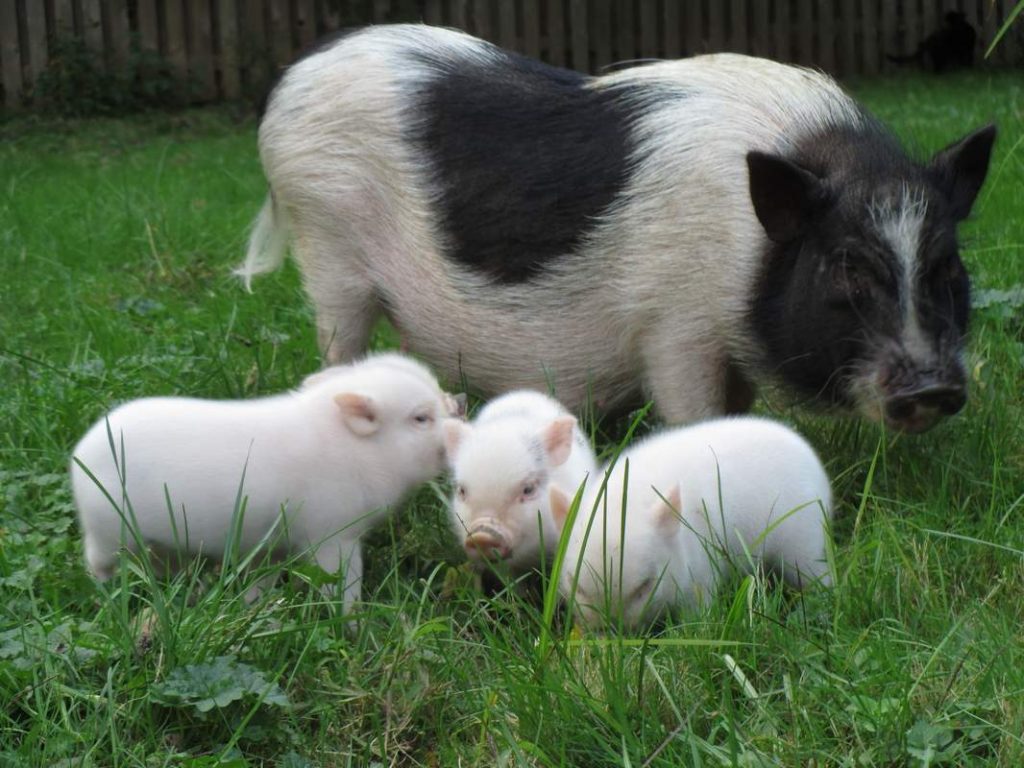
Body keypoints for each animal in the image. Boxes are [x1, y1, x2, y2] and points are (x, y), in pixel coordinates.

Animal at [68, 354, 456, 614]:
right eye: (421, 418)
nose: (459, 402)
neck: (357, 452)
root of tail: (78, 453)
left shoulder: (272, 544)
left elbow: (261, 581)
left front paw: (256, 607)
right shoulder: (332, 534)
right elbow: (343, 581)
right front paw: (353, 622)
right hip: (107, 528)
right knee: (95, 561)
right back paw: (105, 595)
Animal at [237, 24, 991, 434]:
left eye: (948, 268)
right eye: (846, 267)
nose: (932, 386)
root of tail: (293, 75)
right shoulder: (675, 323)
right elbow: (692, 407)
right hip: (328, 242)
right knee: (339, 348)